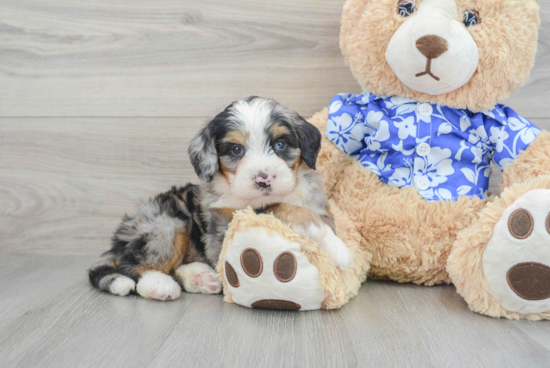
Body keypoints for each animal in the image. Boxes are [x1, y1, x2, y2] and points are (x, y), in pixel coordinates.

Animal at [86, 98, 354, 302]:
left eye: (280, 144)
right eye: (236, 150)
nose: (263, 179)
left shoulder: (319, 206)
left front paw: (333, 244)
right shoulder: (227, 225)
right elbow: (282, 208)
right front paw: (340, 250)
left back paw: (201, 278)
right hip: (167, 224)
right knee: (131, 264)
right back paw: (159, 284)